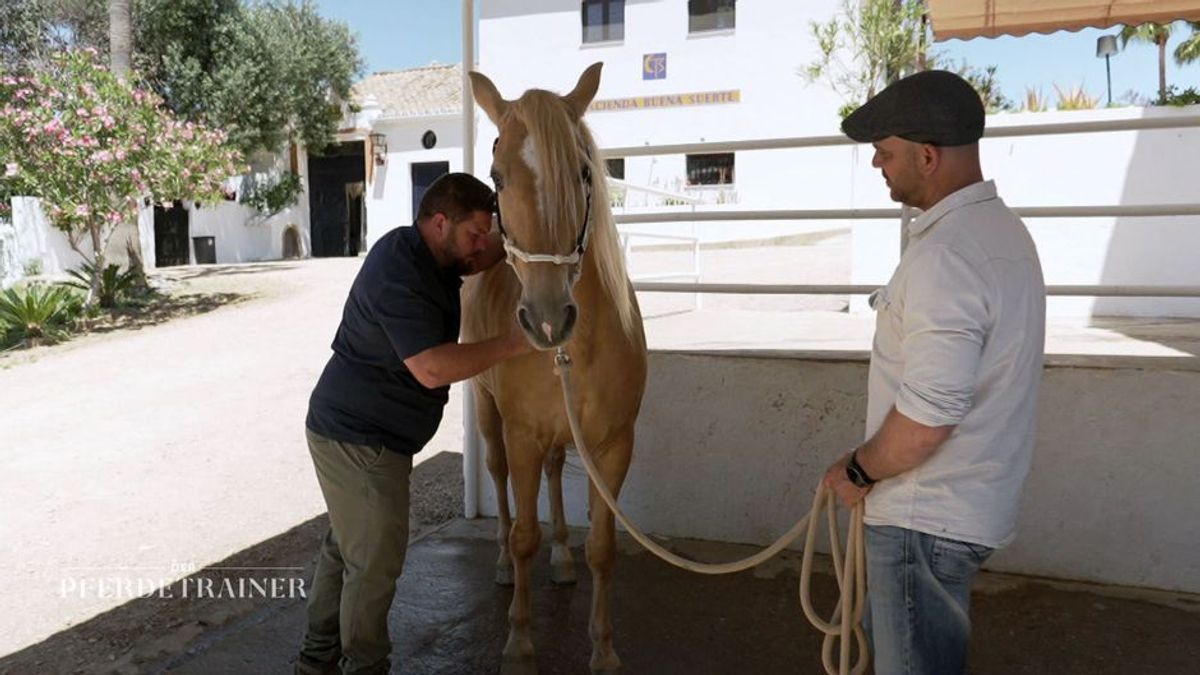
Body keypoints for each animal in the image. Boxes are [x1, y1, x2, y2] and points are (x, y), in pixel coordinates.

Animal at [460, 60, 648, 667]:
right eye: (496, 178)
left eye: (584, 173)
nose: (546, 318)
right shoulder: (521, 433)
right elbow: (525, 535)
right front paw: (519, 643)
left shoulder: (613, 444)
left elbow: (603, 547)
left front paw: (604, 649)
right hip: (488, 412)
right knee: (499, 482)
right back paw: (500, 563)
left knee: (553, 474)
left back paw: (563, 557)